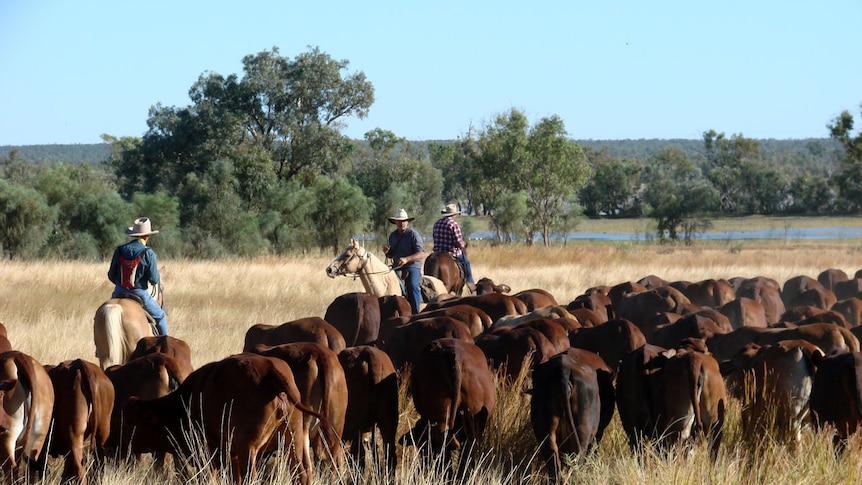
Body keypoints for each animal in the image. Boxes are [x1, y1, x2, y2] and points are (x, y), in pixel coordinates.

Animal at [120, 352, 336, 484]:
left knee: (252, 476)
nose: (123, 446)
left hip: (249, 448)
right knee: (301, 473)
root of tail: (269, 370)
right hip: (294, 440)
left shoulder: (210, 454)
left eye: (130, 422)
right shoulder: (231, 455)